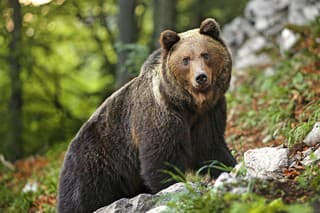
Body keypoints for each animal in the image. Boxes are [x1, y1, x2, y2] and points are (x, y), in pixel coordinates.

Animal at [57, 18, 236, 213]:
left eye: (205, 54)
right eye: (185, 59)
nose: (200, 77)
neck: (188, 104)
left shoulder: (208, 114)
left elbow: (210, 147)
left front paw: (229, 167)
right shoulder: (160, 116)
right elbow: (162, 158)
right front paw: (173, 187)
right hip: (95, 164)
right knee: (81, 198)